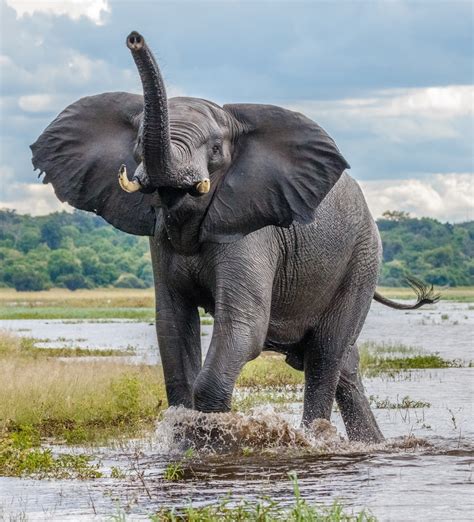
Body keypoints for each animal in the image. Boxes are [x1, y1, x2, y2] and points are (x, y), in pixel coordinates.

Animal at [29, 30, 436, 440]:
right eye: (139, 140)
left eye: (214, 149)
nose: (134, 38)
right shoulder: (161, 242)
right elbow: (172, 328)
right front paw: (184, 436)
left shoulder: (253, 232)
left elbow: (243, 325)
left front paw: (213, 436)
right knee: (341, 364)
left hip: (361, 261)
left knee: (326, 354)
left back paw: (316, 437)